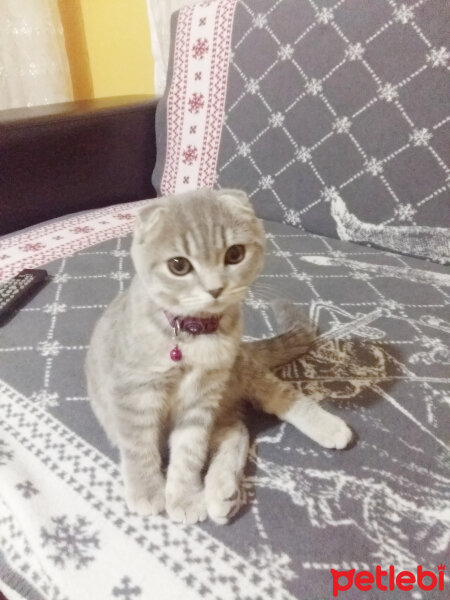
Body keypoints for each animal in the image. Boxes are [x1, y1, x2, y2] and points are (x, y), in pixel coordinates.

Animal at [84, 189, 352, 524]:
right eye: (179, 265)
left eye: (235, 254)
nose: (215, 289)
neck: (195, 336)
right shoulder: (135, 392)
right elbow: (139, 447)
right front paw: (147, 489)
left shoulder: (203, 400)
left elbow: (189, 453)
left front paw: (184, 496)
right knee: (236, 430)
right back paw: (223, 490)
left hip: (241, 372)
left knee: (279, 398)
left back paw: (326, 428)